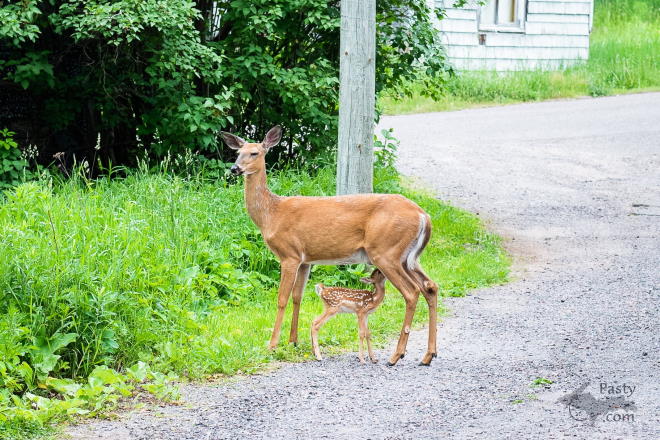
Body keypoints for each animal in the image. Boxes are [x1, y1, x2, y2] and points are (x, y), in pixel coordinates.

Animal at [220, 126, 438, 364]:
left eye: (255, 153)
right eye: (238, 152)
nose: (235, 168)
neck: (271, 214)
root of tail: (423, 215)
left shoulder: (289, 255)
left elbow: (282, 298)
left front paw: (272, 345)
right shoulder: (305, 260)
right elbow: (297, 297)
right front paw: (293, 341)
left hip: (386, 252)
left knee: (412, 292)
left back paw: (397, 355)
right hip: (409, 257)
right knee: (430, 287)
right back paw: (428, 355)